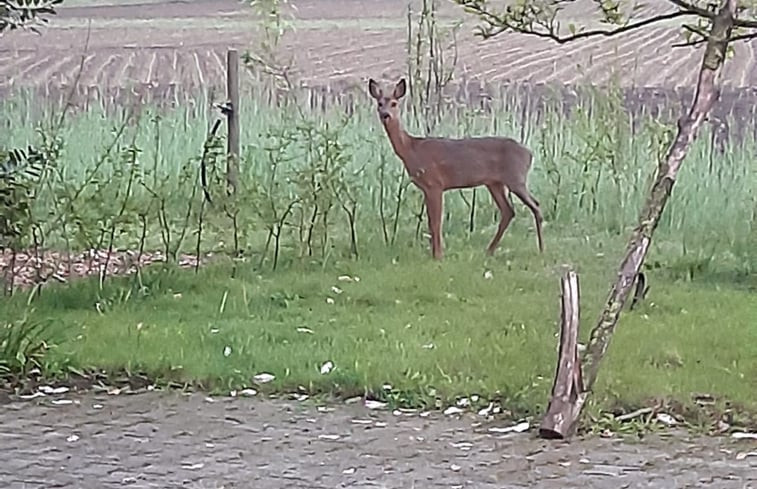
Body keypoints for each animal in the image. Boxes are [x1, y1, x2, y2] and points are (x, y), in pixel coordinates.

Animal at [366, 76, 544, 260]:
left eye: (394, 103)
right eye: (379, 103)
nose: (385, 115)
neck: (411, 148)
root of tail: (529, 153)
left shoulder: (435, 184)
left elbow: (436, 222)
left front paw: (438, 255)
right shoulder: (428, 188)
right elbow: (431, 222)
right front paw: (435, 253)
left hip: (516, 178)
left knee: (535, 205)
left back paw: (541, 249)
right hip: (495, 183)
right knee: (509, 211)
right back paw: (489, 251)